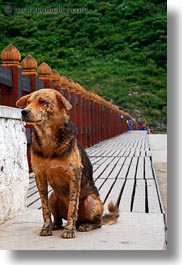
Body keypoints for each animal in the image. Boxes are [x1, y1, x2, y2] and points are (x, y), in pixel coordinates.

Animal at [16, 88, 119, 237]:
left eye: (42, 101)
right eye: (28, 102)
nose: (23, 111)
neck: (48, 138)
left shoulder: (74, 175)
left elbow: (72, 206)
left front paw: (69, 230)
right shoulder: (39, 176)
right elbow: (45, 209)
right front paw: (46, 227)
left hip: (91, 201)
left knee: (97, 222)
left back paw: (85, 225)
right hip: (53, 196)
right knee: (58, 219)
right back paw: (55, 225)